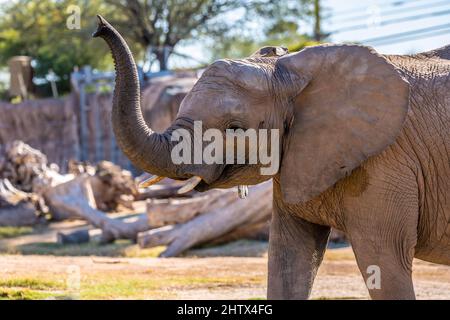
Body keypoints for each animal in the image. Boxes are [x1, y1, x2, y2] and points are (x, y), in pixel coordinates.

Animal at [92, 15, 450, 300]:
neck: (290, 70)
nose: (98, 26)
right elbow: (288, 257)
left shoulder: (386, 161)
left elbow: (384, 258)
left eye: (235, 129)